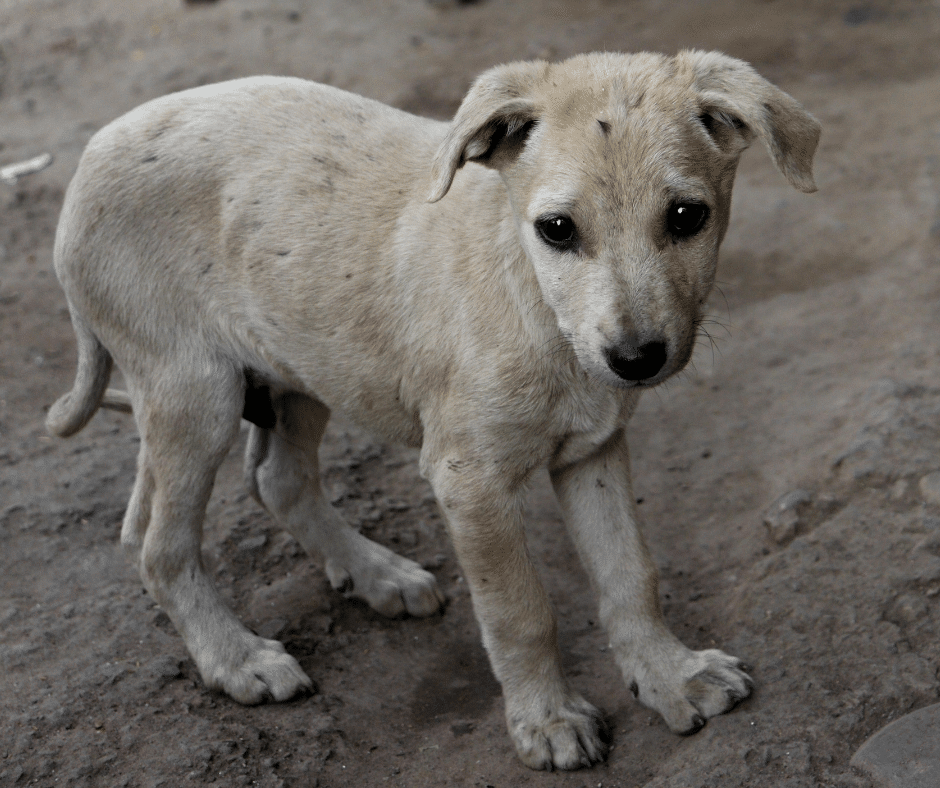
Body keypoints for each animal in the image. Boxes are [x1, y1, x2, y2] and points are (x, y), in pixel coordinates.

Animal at [47, 50, 820, 768]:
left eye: (687, 216)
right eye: (558, 229)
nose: (635, 359)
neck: (533, 302)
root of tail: (90, 158)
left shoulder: (593, 452)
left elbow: (631, 573)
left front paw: (669, 675)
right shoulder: (468, 480)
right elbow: (520, 610)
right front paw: (546, 721)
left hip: (300, 366)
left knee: (273, 481)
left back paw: (375, 575)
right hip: (195, 392)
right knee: (161, 546)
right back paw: (236, 659)